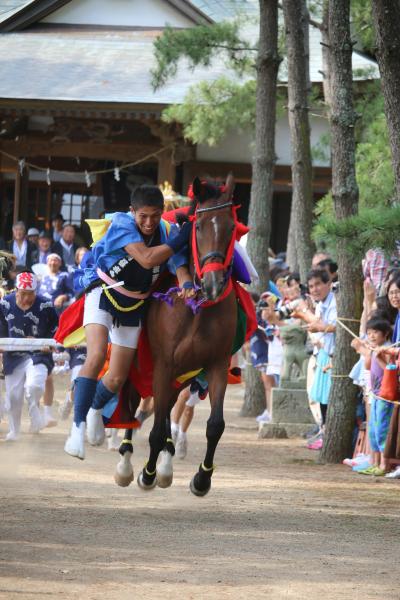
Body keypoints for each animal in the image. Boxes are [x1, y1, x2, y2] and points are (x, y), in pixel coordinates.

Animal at [115, 175, 238, 496]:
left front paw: (202, 478)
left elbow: (215, 425)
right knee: (132, 405)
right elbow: (156, 429)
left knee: (167, 407)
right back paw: (126, 463)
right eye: (199, 227)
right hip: (137, 361)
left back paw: (167, 463)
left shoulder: (217, 363)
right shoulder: (163, 363)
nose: (213, 283)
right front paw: (146, 474)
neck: (196, 309)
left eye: (231, 227)